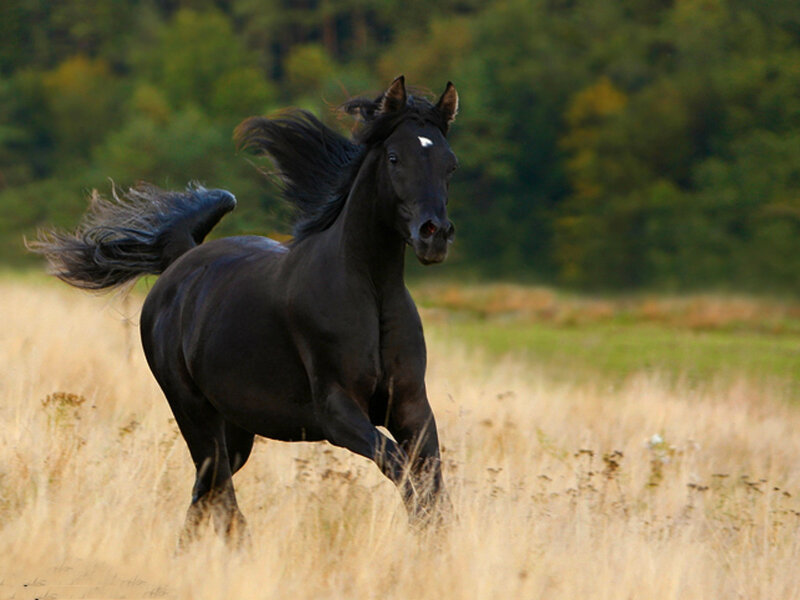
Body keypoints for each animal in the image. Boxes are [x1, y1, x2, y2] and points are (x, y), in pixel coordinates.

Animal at [30, 76, 460, 542]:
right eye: (395, 157)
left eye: (449, 162)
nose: (434, 235)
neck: (371, 292)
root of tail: (183, 258)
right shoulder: (338, 413)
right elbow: (402, 470)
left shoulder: (412, 407)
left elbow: (431, 484)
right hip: (192, 410)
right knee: (217, 488)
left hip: (236, 424)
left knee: (205, 491)